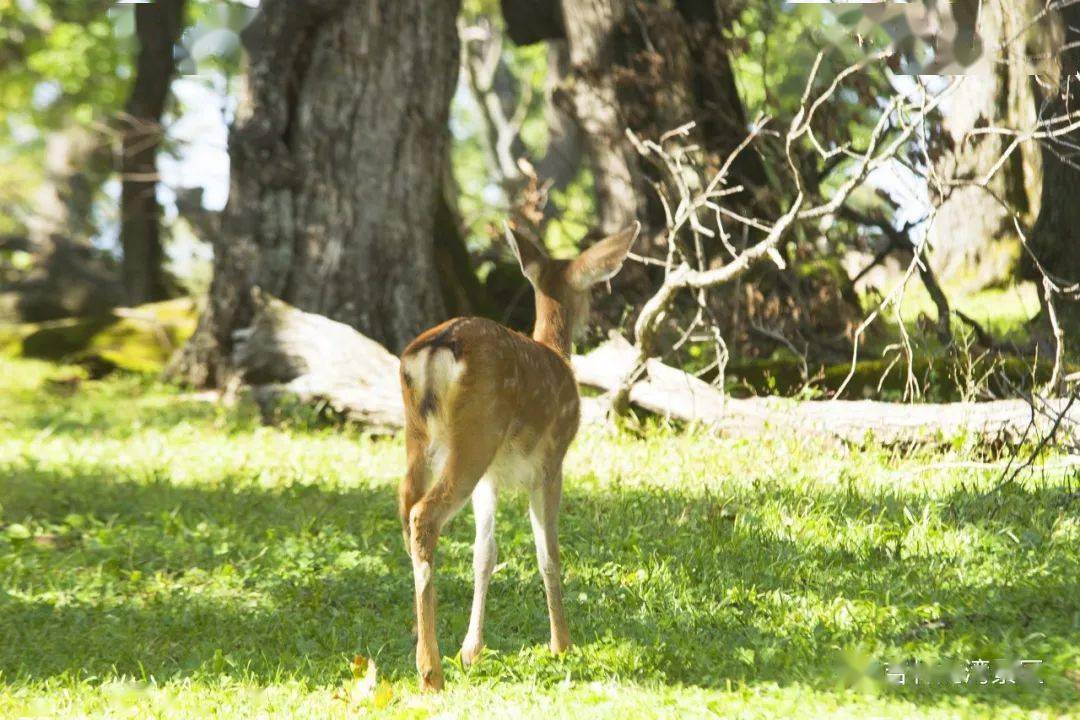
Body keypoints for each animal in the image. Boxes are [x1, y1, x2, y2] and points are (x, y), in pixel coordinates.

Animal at [399, 221, 639, 690]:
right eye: (590, 290)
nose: (593, 326)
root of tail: (437, 349)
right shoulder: (552, 460)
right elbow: (549, 553)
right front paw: (562, 643)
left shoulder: (491, 478)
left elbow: (484, 554)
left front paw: (471, 650)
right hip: (475, 437)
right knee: (424, 516)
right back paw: (430, 671)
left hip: (420, 439)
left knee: (406, 509)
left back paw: (421, 639)